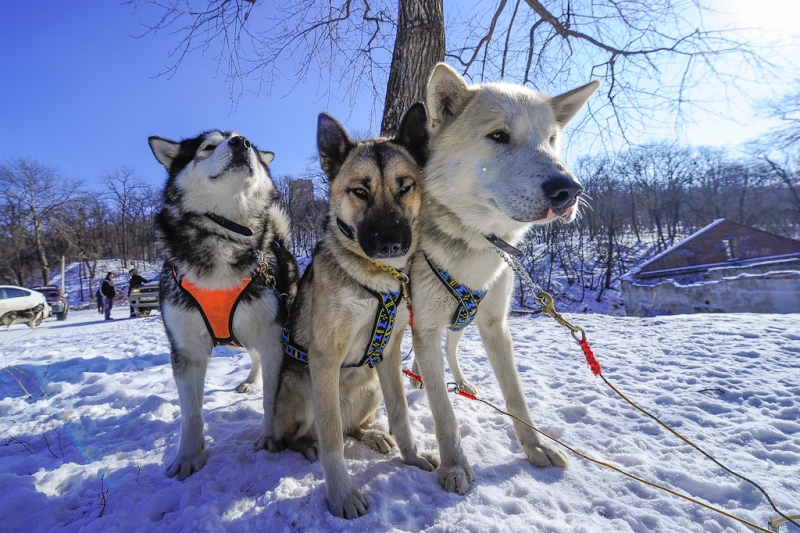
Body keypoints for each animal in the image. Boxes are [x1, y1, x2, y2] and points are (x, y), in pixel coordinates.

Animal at [272, 103, 440, 516]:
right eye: (360, 191)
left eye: (405, 186)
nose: (392, 242)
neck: (377, 278)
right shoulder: (324, 358)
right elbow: (332, 440)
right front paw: (341, 494)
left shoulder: (390, 355)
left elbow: (401, 414)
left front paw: (412, 457)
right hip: (304, 387)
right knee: (304, 435)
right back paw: (307, 445)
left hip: (370, 388)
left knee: (352, 427)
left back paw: (372, 436)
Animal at [406, 64, 600, 492]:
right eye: (498, 136)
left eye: (551, 140)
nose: (569, 190)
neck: (479, 244)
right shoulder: (424, 327)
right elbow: (443, 413)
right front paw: (454, 465)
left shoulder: (496, 326)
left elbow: (516, 398)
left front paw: (535, 448)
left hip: (463, 322)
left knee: (452, 350)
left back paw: (460, 382)